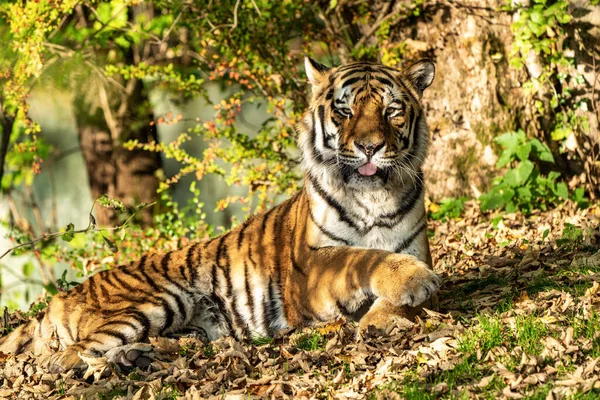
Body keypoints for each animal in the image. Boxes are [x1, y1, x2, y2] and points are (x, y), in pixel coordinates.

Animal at [0, 57, 440, 372]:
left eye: (392, 111)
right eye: (345, 112)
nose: (369, 147)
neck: (373, 197)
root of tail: (60, 297)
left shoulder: (413, 246)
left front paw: (384, 318)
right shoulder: (311, 268)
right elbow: (362, 257)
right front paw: (412, 283)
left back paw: (138, 357)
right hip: (158, 299)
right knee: (66, 357)